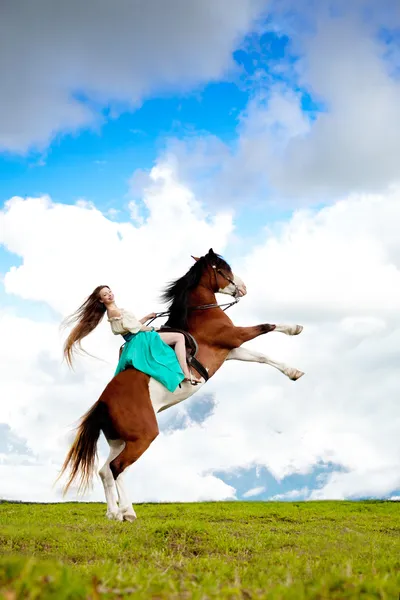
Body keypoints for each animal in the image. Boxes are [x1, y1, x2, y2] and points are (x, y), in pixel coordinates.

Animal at [59, 248, 304, 520]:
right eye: (223, 268)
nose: (243, 288)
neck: (201, 313)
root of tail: (102, 402)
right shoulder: (234, 336)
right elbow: (267, 326)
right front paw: (295, 328)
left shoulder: (231, 350)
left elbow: (261, 357)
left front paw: (293, 372)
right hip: (143, 438)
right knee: (116, 468)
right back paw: (128, 512)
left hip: (121, 440)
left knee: (105, 471)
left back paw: (114, 513)